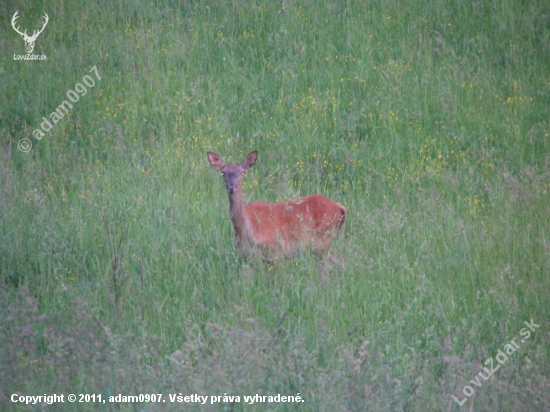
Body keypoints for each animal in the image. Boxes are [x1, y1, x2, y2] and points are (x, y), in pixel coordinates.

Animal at [209, 151, 348, 260]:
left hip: (323, 240)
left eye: (243, 172)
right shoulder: (246, 255)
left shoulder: (277, 250)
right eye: (223, 172)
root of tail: (340, 208)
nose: (232, 186)